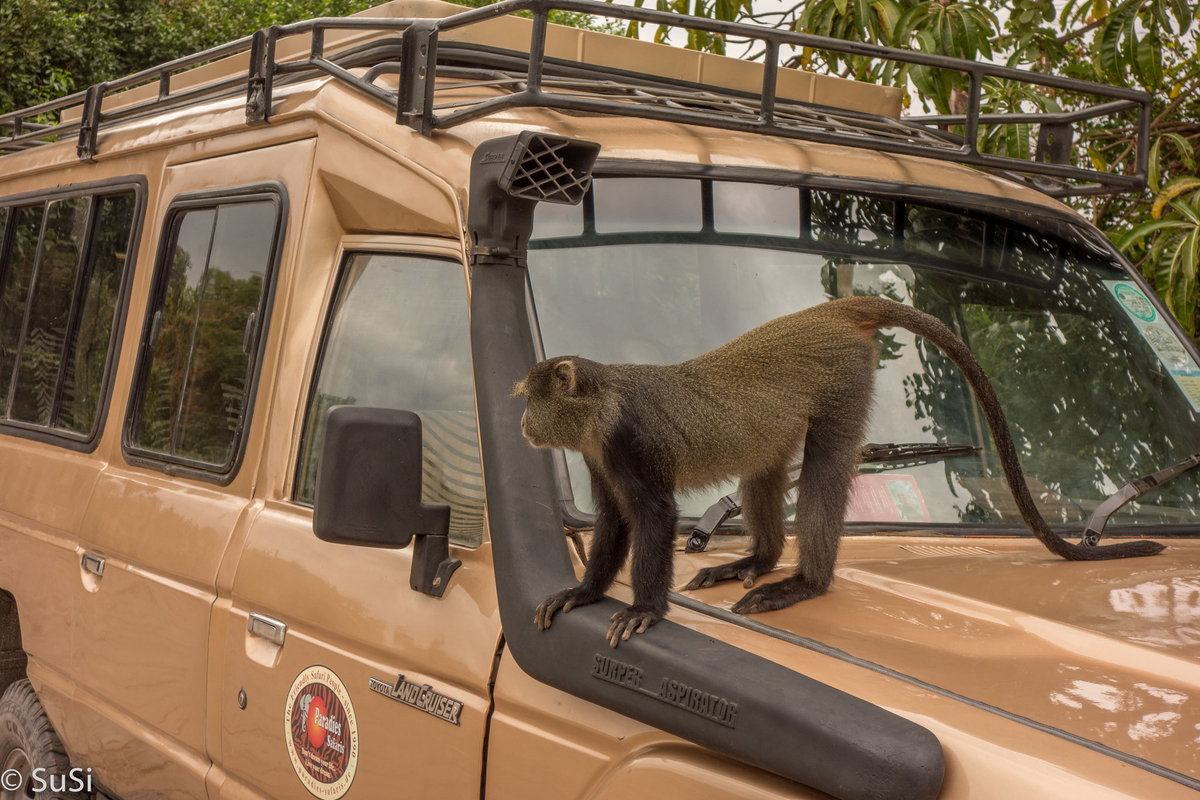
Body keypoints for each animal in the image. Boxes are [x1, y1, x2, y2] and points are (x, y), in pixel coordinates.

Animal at [513, 297, 1161, 647]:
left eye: (529, 399)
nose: (520, 422)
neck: (602, 403)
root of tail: (827, 312)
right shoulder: (600, 453)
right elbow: (614, 519)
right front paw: (583, 592)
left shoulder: (629, 440)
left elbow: (652, 516)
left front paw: (643, 609)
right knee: (766, 464)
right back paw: (760, 559)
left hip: (844, 374)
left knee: (823, 469)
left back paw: (804, 582)